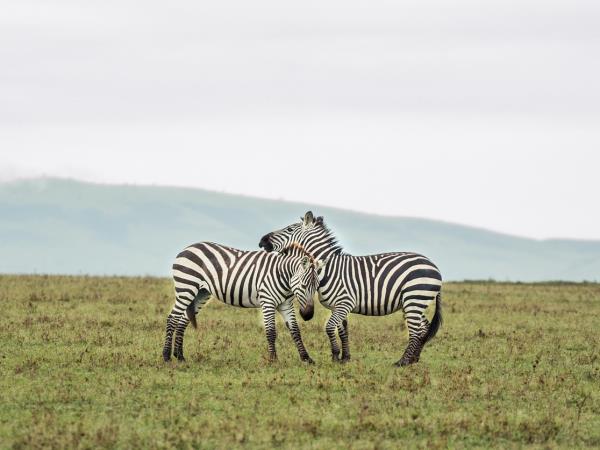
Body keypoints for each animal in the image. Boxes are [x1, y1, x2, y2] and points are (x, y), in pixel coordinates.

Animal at [162, 241, 326, 364]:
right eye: (304, 286)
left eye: (317, 287)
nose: (308, 315)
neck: (283, 277)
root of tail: (187, 248)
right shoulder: (268, 302)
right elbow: (271, 332)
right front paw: (273, 360)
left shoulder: (286, 305)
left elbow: (295, 331)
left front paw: (306, 358)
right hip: (186, 287)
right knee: (172, 318)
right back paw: (166, 356)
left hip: (200, 293)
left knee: (183, 320)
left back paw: (180, 356)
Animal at [258, 211, 440, 366]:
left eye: (289, 229)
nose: (261, 241)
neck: (328, 269)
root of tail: (433, 265)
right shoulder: (337, 307)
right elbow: (342, 330)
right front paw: (345, 358)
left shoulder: (345, 303)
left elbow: (329, 328)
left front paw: (335, 356)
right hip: (415, 302)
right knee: (423, 328)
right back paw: (414, 359)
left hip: (414, 298)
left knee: (415, 331)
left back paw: (402, 362)